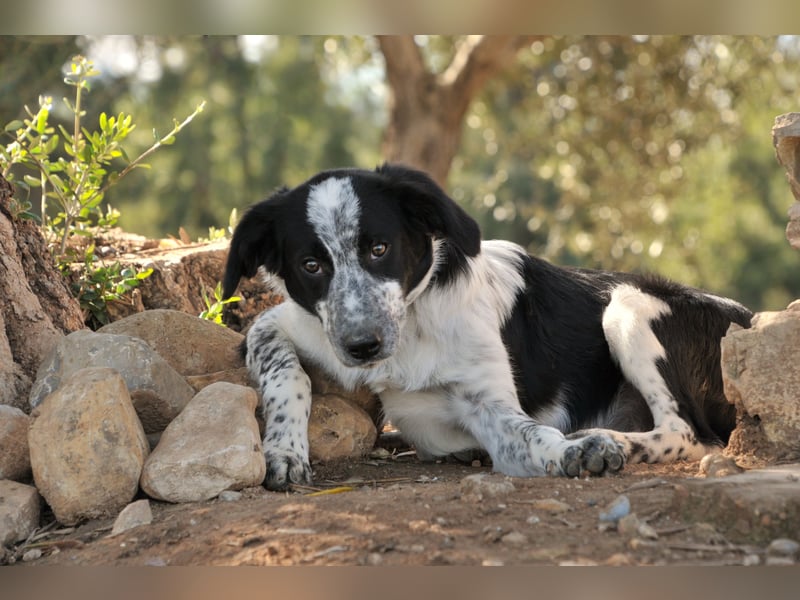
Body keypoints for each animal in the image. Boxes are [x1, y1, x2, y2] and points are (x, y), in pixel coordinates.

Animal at [223, 162, 752, 490]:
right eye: (311, 265)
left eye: (379, 248)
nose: (361, 346)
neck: (408, 334)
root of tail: (746, 317)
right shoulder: (279, 324)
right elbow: (286, 373)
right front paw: (283, 450)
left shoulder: (489, 405)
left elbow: (534, 433)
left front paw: (575, 451)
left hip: (626, 305)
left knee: (686, 432)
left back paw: (611, 439)